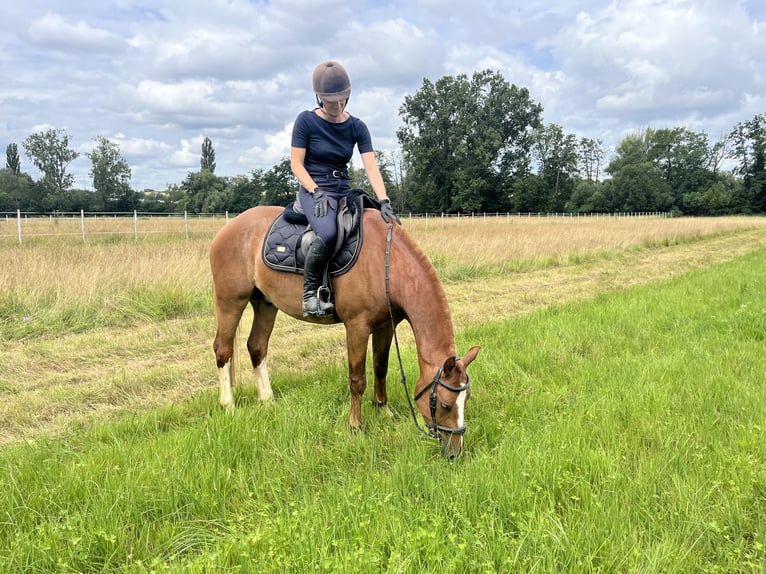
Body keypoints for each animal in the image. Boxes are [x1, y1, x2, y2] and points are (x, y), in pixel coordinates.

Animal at [210, 206, 480, 460]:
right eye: (445, 404)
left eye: (466, 399)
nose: (455, 452)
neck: (386, 263)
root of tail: (227, 229)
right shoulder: (357, 327)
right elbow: (357, 379)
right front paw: (355, 426)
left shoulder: (385, 326)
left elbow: (380, 368)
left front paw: (382, 409)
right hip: (230, 301)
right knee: (223, 349)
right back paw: (228, 405)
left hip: (265, 303)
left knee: (257, 347)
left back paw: (267, 400)